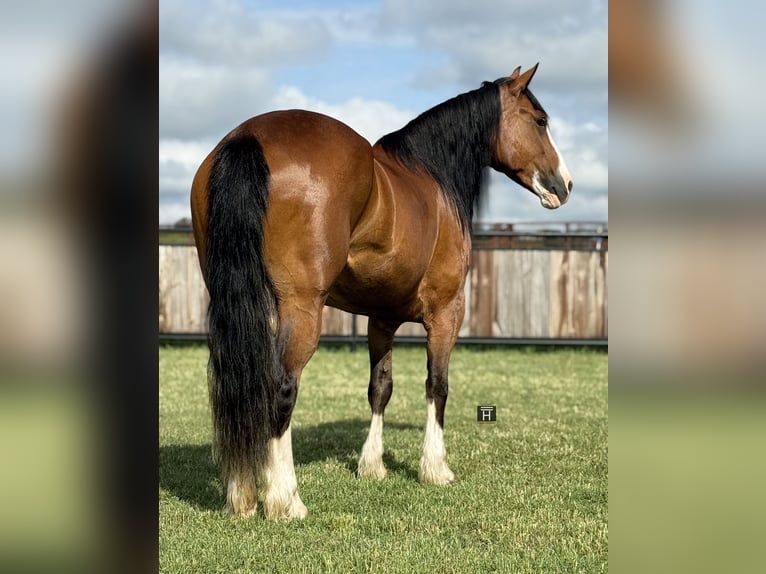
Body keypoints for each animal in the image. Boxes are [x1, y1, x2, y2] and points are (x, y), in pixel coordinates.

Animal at [190, 64, 572, 520]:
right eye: (540, 121)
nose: (565, 186)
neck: (434, 178)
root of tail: (247, 136)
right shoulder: (447, 312)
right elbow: (437, 385)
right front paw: (435, 468)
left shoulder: (382, 318)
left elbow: (380, 387)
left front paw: (371, 465)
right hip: (301, 308)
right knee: (280, 386)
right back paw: (286, 500)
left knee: (238, 383)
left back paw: (242, 497)